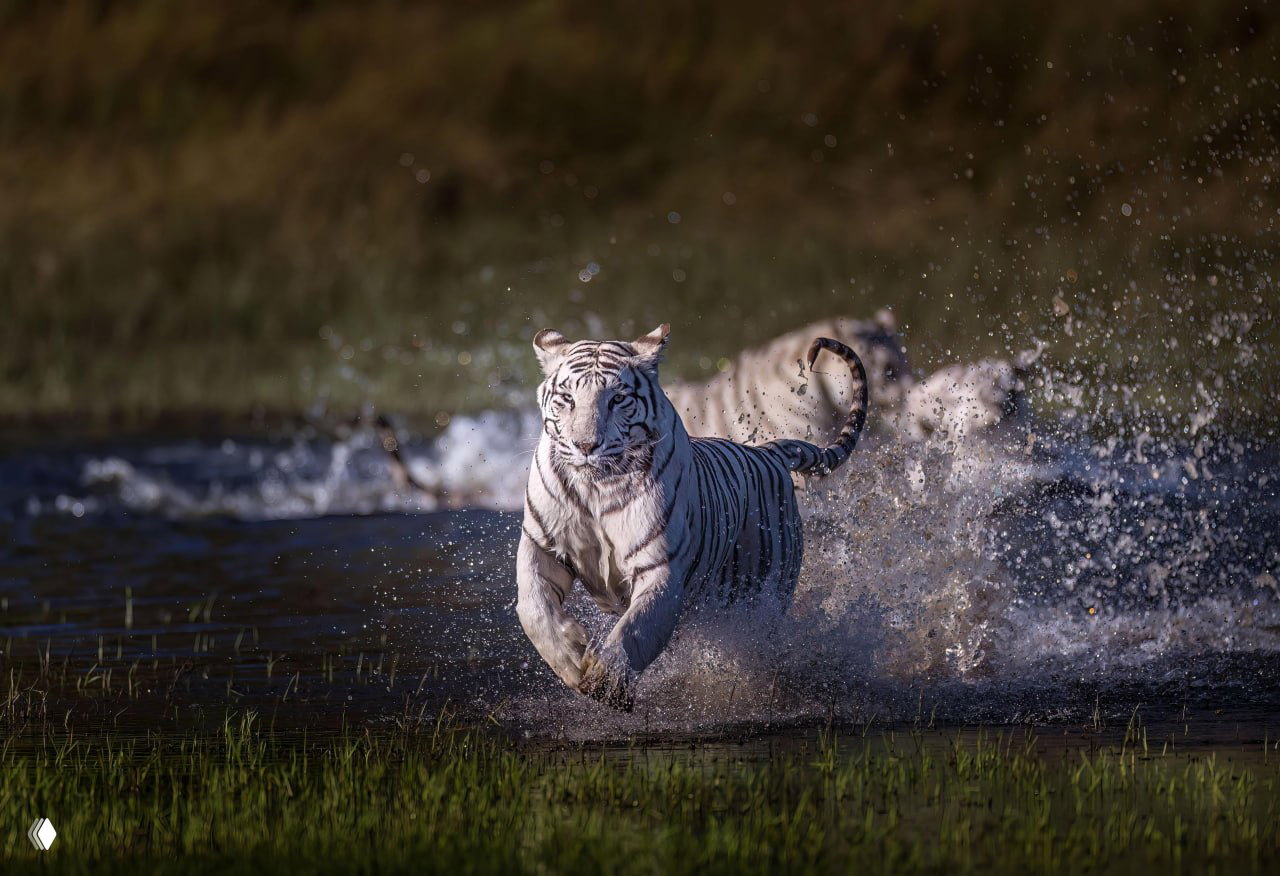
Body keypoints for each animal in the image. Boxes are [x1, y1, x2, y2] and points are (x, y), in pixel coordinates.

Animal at [516, 323, 867, 710]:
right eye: (567, 398)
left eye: (618, 399)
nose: (585, 446)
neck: (596, 488)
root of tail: (769, 452)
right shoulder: (541, 545)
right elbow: (534, 608)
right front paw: (572, 660)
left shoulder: (661, 569)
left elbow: (635, 629)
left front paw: (607, 681)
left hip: (762, 595)